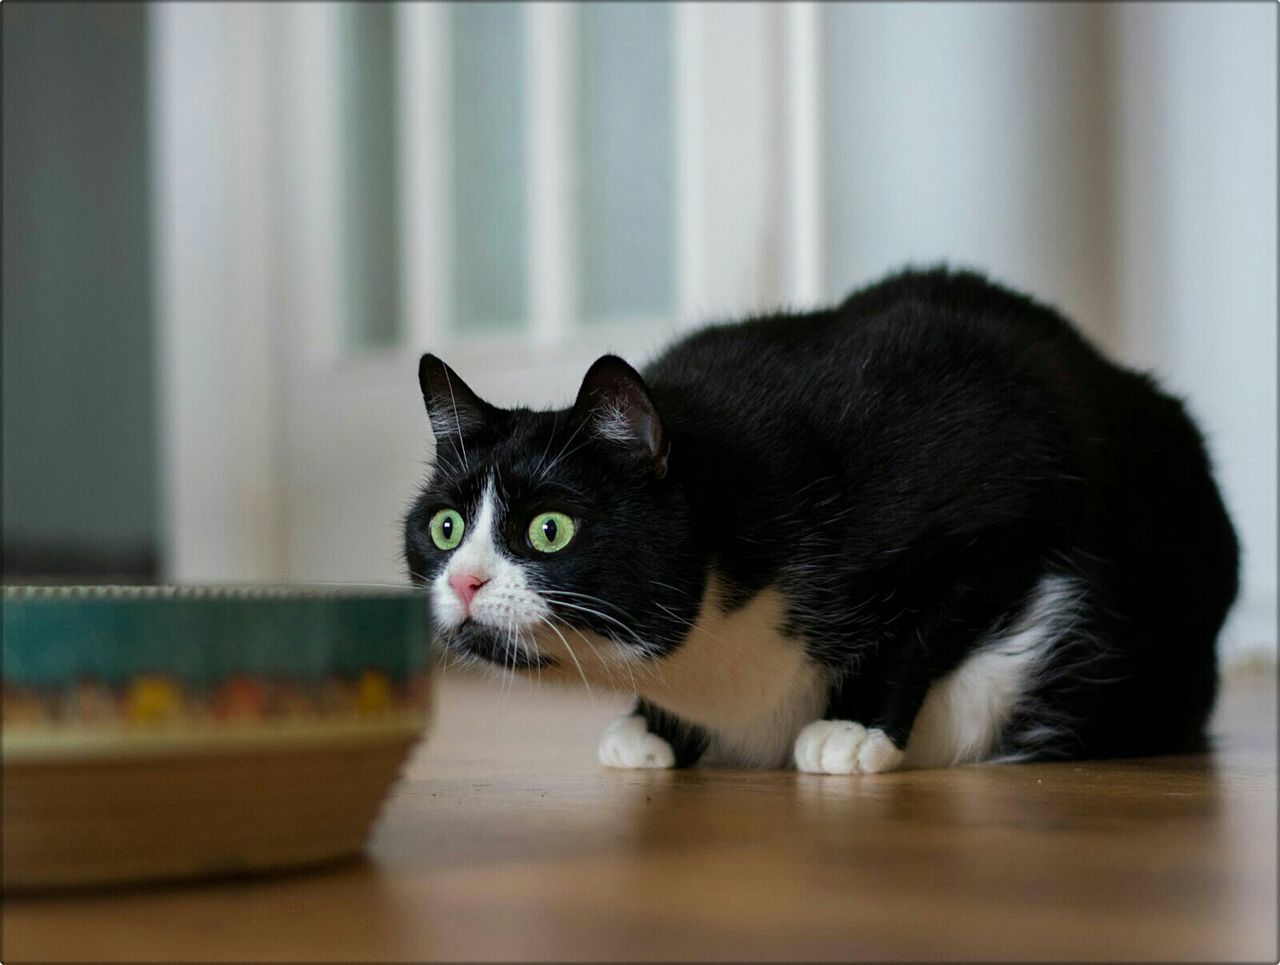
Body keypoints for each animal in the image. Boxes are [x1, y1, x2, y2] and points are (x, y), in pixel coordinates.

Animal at [401, 267, 1239, 773]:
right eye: (445, 528)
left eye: (550, 529)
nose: (465, 581)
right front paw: (650, 727)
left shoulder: (1008, 487)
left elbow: (929, 627)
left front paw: (855, 727)